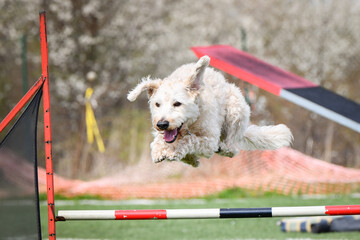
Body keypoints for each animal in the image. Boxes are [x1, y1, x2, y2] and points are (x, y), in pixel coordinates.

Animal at [126, 55, 292, 167]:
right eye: (157, 104)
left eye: (177, 103)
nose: (162, 124)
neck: (192, 124)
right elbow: (157, 142)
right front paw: (159, 151)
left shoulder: (209, 140)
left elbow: (190, 140)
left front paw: (174, 150)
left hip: (236, 110)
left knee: (232, 147)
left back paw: (224, 148)